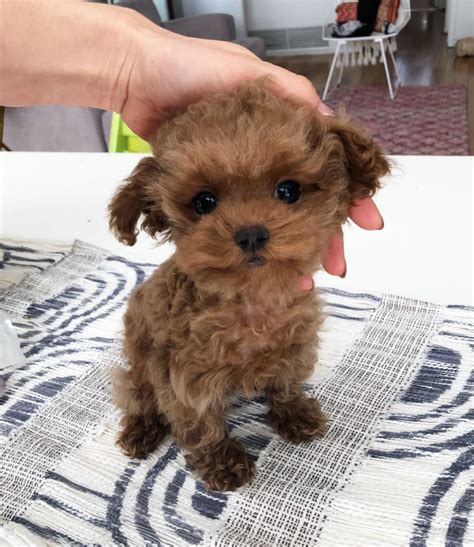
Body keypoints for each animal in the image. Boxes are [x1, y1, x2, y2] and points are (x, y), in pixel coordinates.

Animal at [110, 81, 388, 492]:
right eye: (204, 202)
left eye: (288, 191)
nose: (252, 233)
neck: (252, 300)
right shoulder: (185, 374)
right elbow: (201, 423)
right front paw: (222, 463)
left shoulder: (296, 344)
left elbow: (286, 384)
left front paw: (296, 414)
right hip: (141, 364)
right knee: (136, 395)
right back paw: (140, 431)